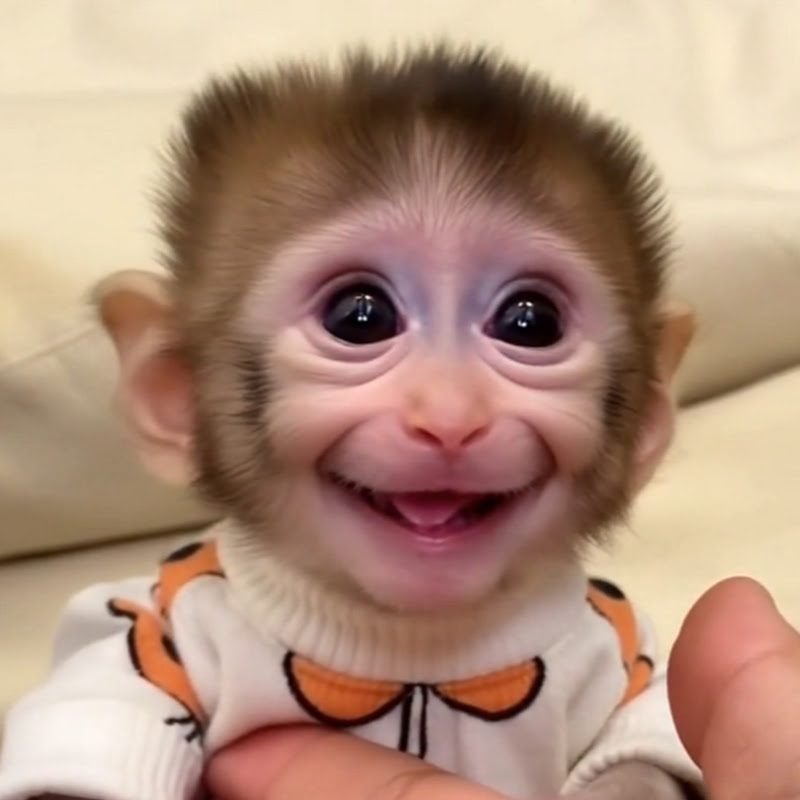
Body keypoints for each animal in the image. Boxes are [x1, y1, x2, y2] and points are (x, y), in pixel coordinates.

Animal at [0, 44, 700, 800]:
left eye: (530, 322)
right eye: (360, 316)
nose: (450, 419)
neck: (405, 649)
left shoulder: (622, 640)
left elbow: (648, 728)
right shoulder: (161, 624)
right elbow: (106, 686)